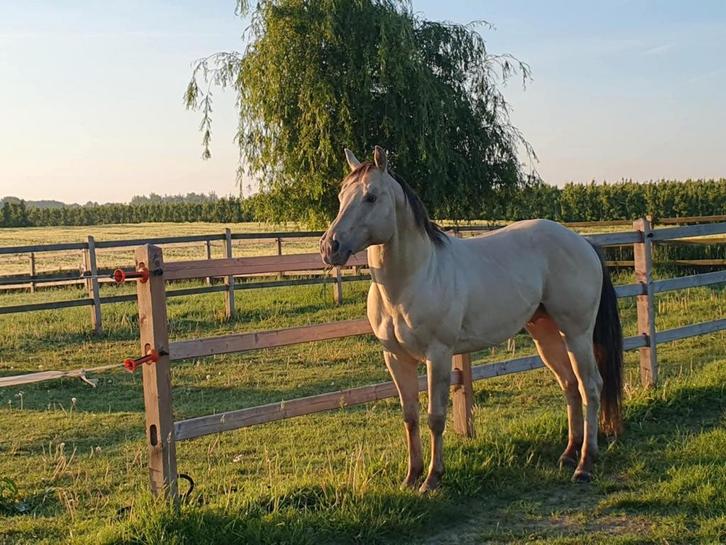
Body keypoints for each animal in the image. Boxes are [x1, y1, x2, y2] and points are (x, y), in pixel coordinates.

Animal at [320, 146, 623, 493]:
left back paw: (585, 464)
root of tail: (583, 242)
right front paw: (411, 476)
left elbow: (436, 417)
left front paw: (432, 478)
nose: (329, 247)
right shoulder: (395, 357)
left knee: (591, 386)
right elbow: (410, 416)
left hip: (577, 333)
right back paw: (569, 454)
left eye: (370, 197)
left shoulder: (438, 355)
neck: (414, 278)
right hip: (546, 334)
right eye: (341, 195)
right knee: (570, 385)